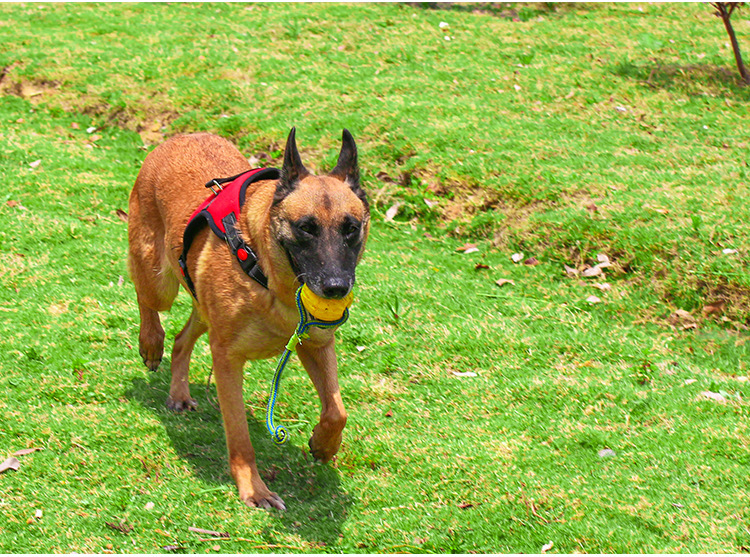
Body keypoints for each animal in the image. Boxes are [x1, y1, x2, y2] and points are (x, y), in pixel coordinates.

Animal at [128, 129, 372, 508]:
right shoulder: (227, 359)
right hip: (159, 280)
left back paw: (179, 392)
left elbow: (337, 411)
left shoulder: (316, 345)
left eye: (351, 228)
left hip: (201, 304)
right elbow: (240, 435)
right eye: (306, 228)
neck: (270, 276)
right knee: (146, 298)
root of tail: (182, 136)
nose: (336, 287)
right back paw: (151, 343)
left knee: (183, 339)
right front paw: (255, 490)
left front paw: (323, 444)